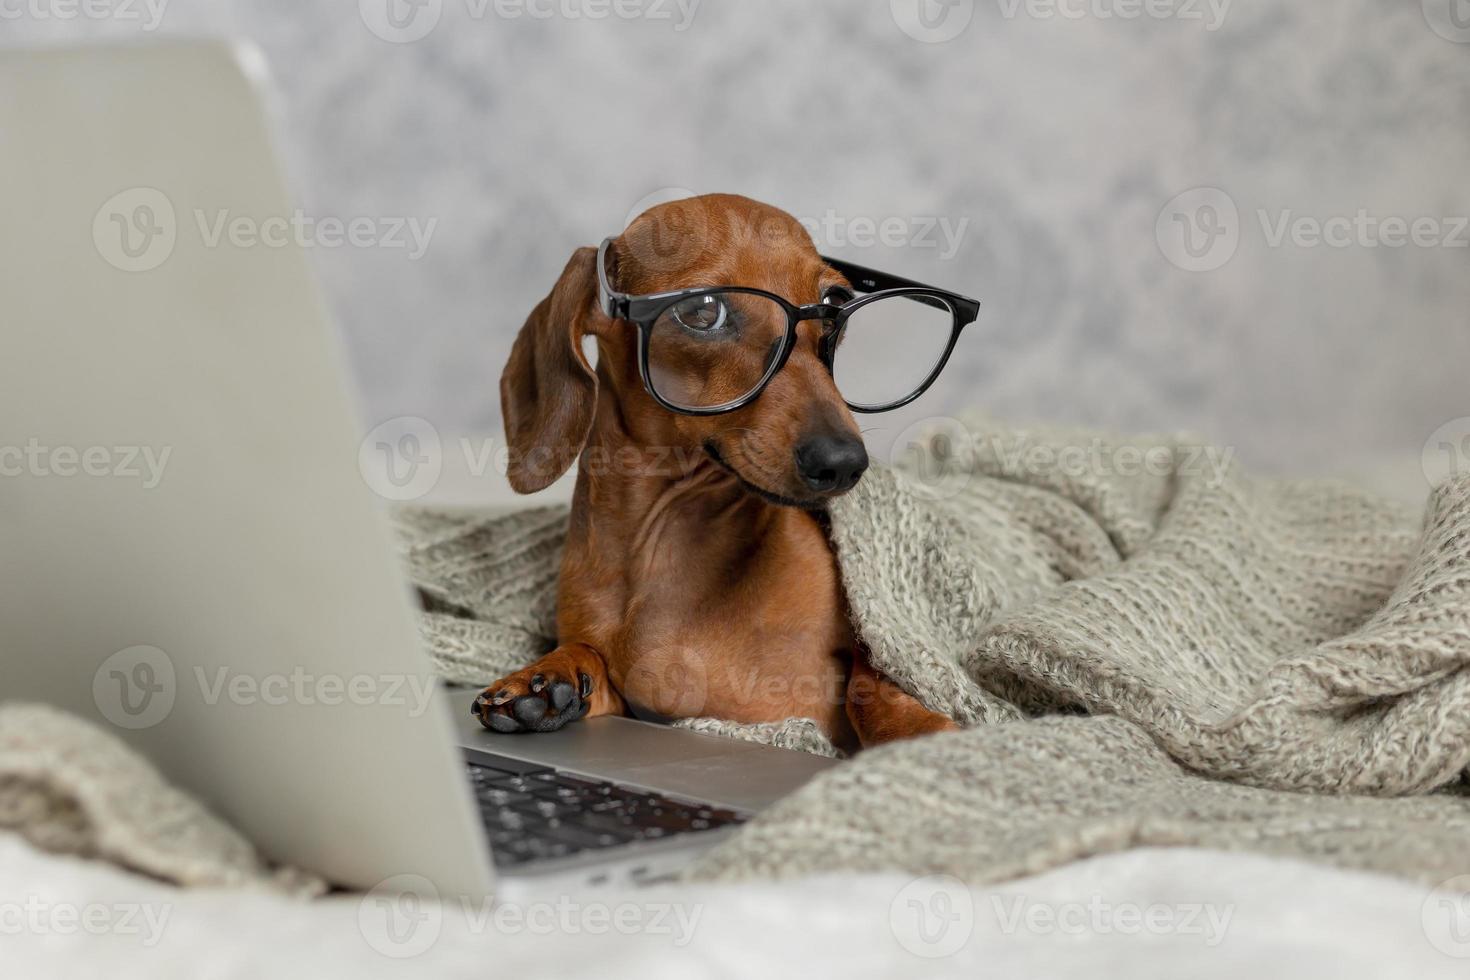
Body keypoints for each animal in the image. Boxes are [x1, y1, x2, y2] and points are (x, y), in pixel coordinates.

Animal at [464, 195, 958, 758]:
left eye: (834, 302)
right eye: (703, 310)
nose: (844, 462)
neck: (664, 548)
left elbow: (870, 679)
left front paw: (918, 733)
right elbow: (589, 657)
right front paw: (548, 677)